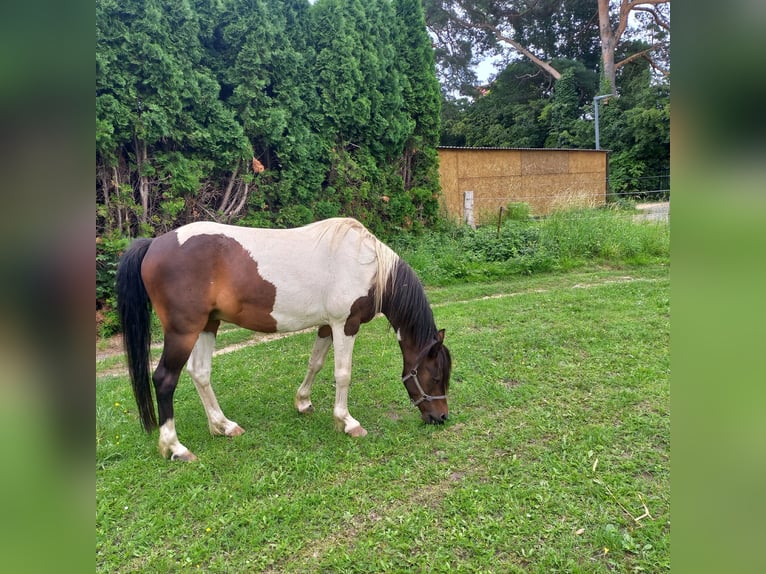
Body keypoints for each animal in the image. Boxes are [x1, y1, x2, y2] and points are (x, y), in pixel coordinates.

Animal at [116, 217, 451, 460]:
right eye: (435, 376)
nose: (441, 417)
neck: (365, 264)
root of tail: (155, 244)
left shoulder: (327, 325)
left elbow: (315, 363)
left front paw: (303, 403)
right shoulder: (346, 324)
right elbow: (343, 374)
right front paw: (347, 422)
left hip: (208, 324)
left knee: (200, 373)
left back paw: (223, 426)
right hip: (183, 331)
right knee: (164, 380)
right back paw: (175, 448)